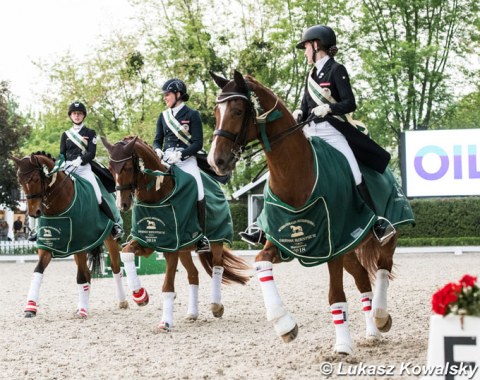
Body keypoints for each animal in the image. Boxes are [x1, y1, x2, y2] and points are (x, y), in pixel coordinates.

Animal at [11, 153, 127, 320]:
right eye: (19, 181)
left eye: (36, 179)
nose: (34, 213)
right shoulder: (47, 245)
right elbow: (38, 270)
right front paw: (30, 308)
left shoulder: (80, 245)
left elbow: (80, 278)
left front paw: (83, 311)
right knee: (87, 273)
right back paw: (82, 306)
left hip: (108, 240)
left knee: (115, 267)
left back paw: (122, 302)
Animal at [101, 135, 251, 332]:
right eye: (110, 168)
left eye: (126, 167)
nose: (122, 205)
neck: (156, 194)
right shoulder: (148, 242)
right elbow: (126, 253)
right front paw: (140, 295)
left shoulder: (171, 248)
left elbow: (167, 286)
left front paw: (165, 322)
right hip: (185, 249)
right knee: (193, 274)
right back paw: (192, 314)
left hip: (216, 241)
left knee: (218, 267)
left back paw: (216, 306)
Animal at [208, 72, 414, 356]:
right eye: (215, 112)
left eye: (238, 110)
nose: (215, 161)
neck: (294, 175)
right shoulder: (286, 242)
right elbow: (261, 262)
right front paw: (284, 324)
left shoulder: (331, 246)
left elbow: (335, 296)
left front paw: (343, 346)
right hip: (349, 248)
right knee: (363, 279)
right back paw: (372, 332)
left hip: (384, 235)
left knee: (383, 267)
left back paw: (381, 316)